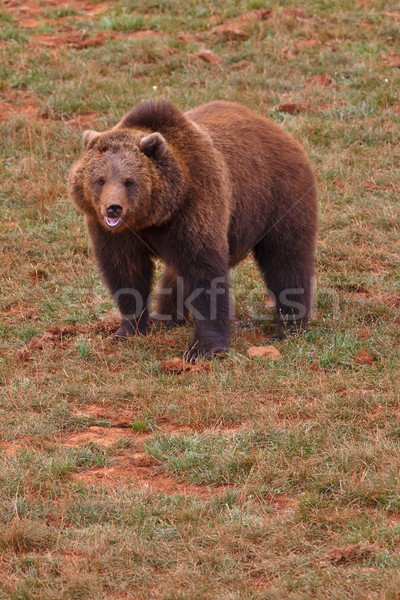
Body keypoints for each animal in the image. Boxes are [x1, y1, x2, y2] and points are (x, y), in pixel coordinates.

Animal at [69, 99, 318, 360]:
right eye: (100, 179)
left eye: (129, 181)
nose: (113, 208)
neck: (153, 216)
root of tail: (281, 133)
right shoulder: (117, 234)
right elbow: (126, 271)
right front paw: (128, 328)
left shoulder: (195, 205)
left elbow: (204, 271)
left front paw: (202, 347)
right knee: (175, 271)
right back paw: (168, 317)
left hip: (279, 197)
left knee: (286, 259)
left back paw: (289, 327)